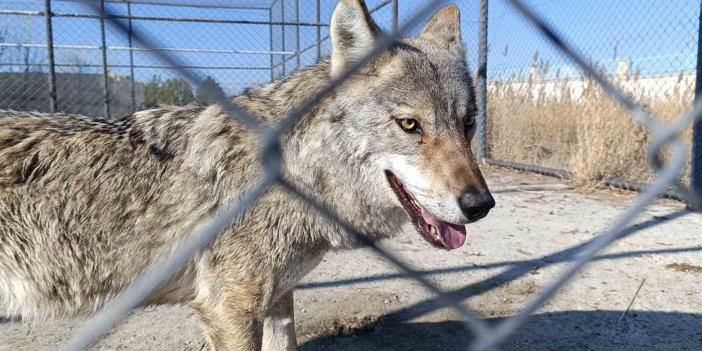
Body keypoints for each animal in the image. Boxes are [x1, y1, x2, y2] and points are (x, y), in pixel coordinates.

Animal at [0, 1, 496, 350]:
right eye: (409, 125)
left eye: (469, 123)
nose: (481, 205)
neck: (292, 173)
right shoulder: (229, 310)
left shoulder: (278, 299)